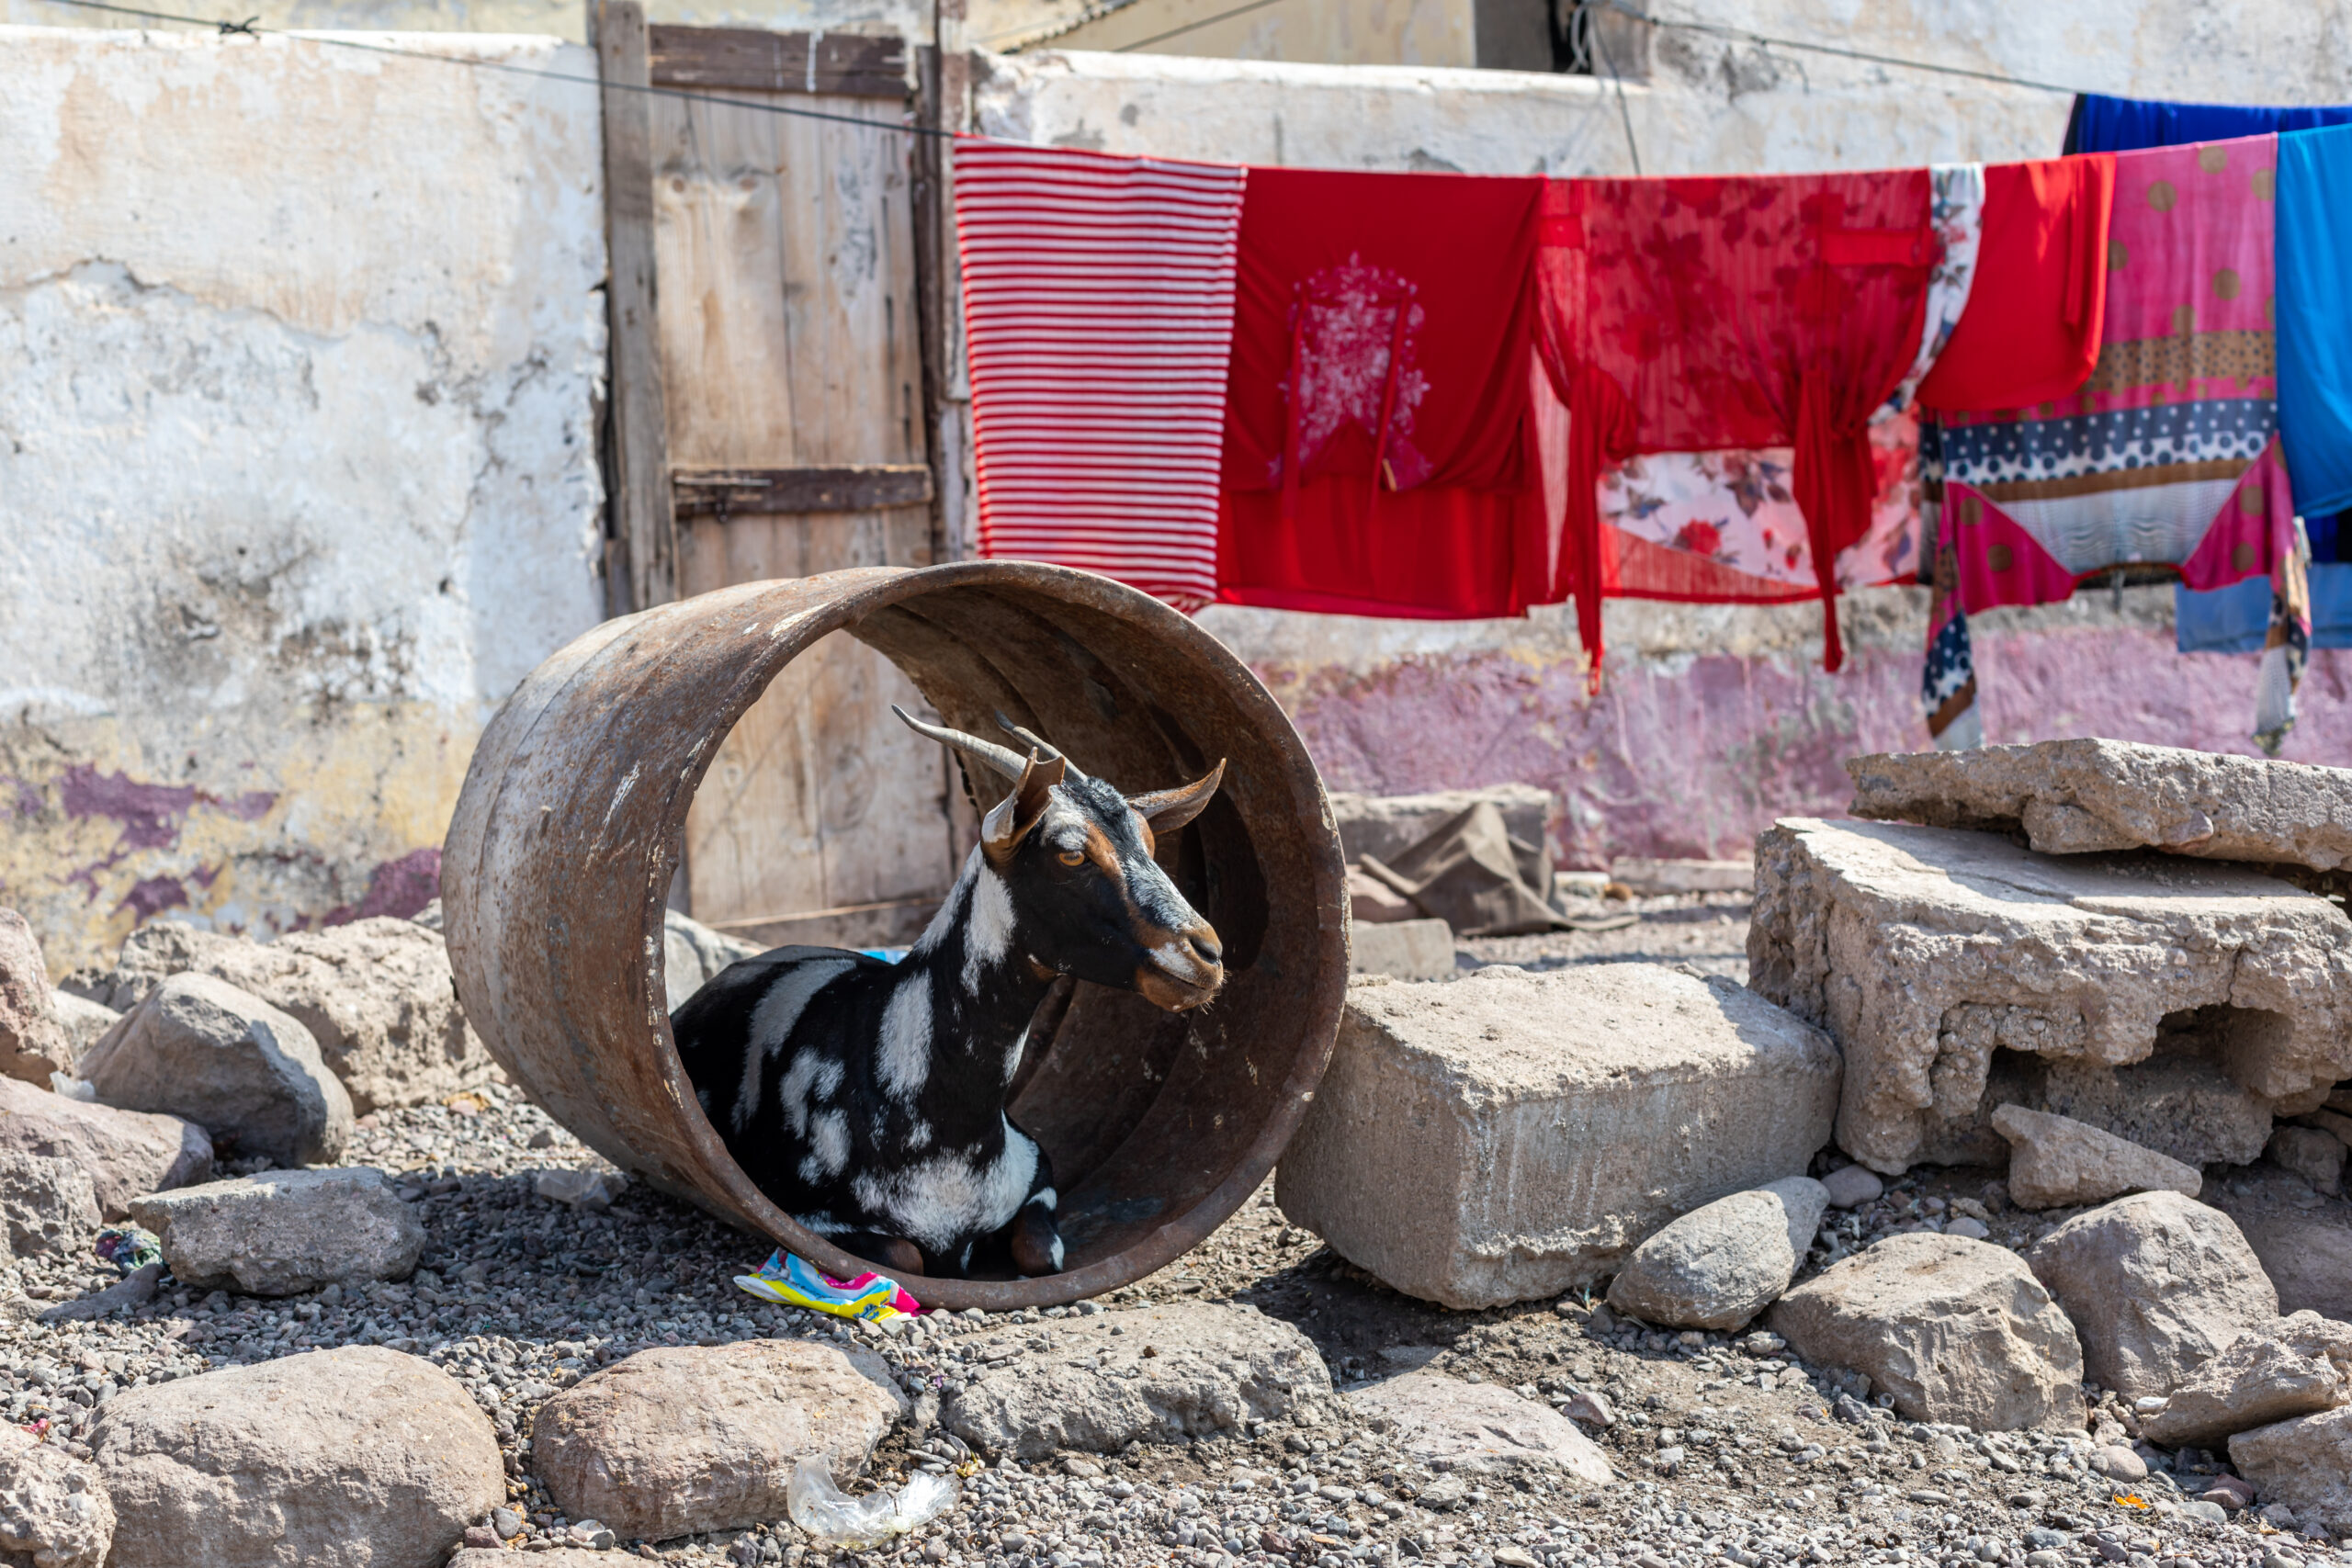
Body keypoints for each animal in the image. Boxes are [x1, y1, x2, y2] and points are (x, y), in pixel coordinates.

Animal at [668, 709, 1232, 1279]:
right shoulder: (807, 1214)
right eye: (1072, 854)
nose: (1207, 954)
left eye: (1151, 844)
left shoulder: (1039, 1177)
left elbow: (1040, 1253)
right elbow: (908, 1256)